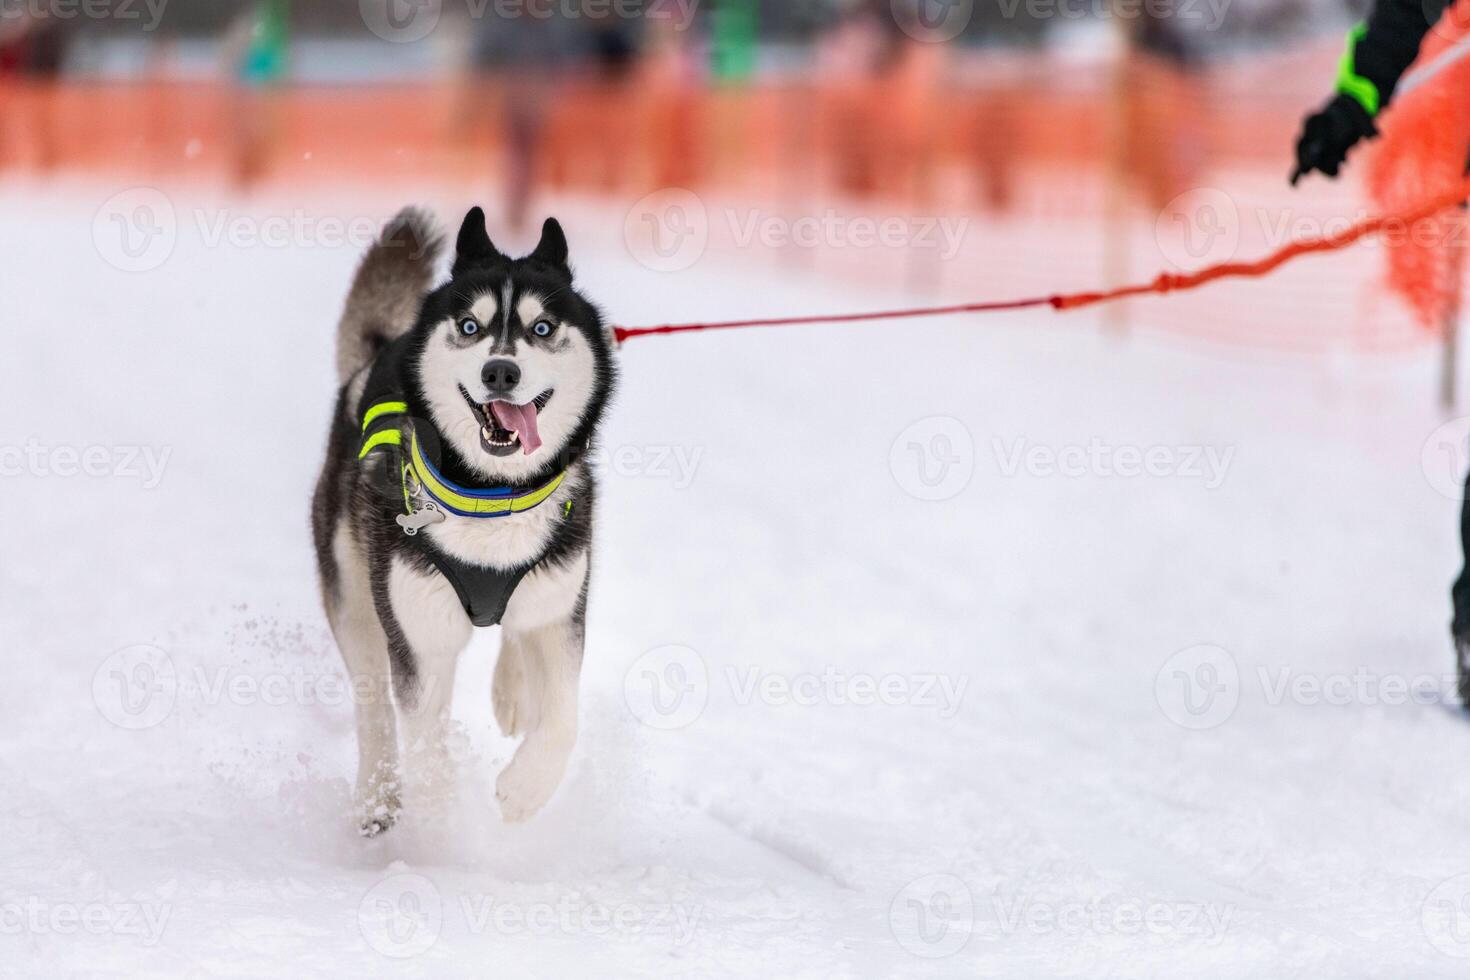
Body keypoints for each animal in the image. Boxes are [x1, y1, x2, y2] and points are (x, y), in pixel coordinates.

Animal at [313, 207, 617, 834]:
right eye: (471, 326)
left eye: (543, 328)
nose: (500, 372)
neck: (491, 496)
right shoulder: (420, 638)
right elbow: (425, 745)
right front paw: (444, 824)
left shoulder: (560, 613)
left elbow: (562, 720)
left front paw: (524, 791)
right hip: (354, 595)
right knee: (372, 705)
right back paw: (377, 796)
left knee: (517, 635)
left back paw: (512, 693)